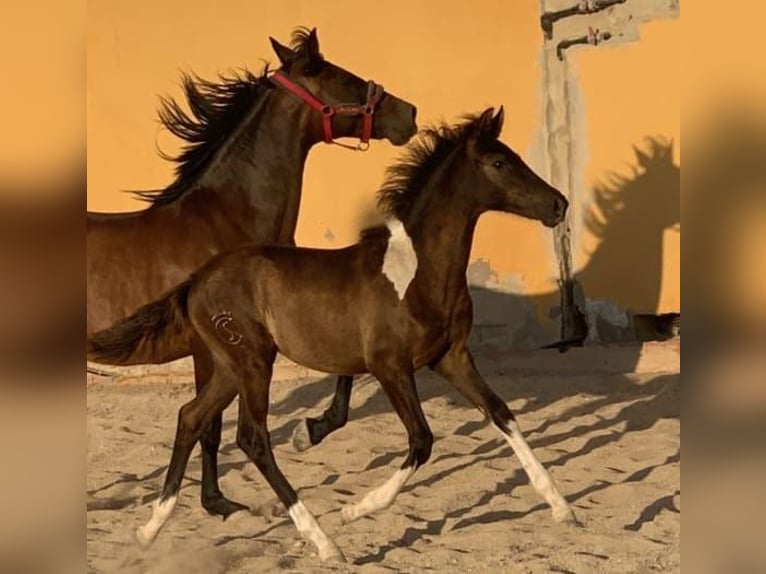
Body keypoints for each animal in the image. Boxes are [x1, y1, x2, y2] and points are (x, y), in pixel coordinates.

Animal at [88, 108, 576, 564]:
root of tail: (196, 280)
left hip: (230, 366)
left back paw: (149, 531)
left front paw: (561, 507)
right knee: (252, 437)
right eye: (499, 162)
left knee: (191, 417)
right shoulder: (390, 366)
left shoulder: (451, 357)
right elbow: (421, 440)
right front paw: (358, 509)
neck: (418, 272)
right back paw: (325, 543)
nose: (559, 205)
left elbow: (501, 413)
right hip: (252, 362)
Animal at [90, 28, 420, 520]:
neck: (226, 218)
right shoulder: (212, 351)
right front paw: (216, 502)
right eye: (345, 79)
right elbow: (208, 425)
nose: (409, 114)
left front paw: (311, 430)